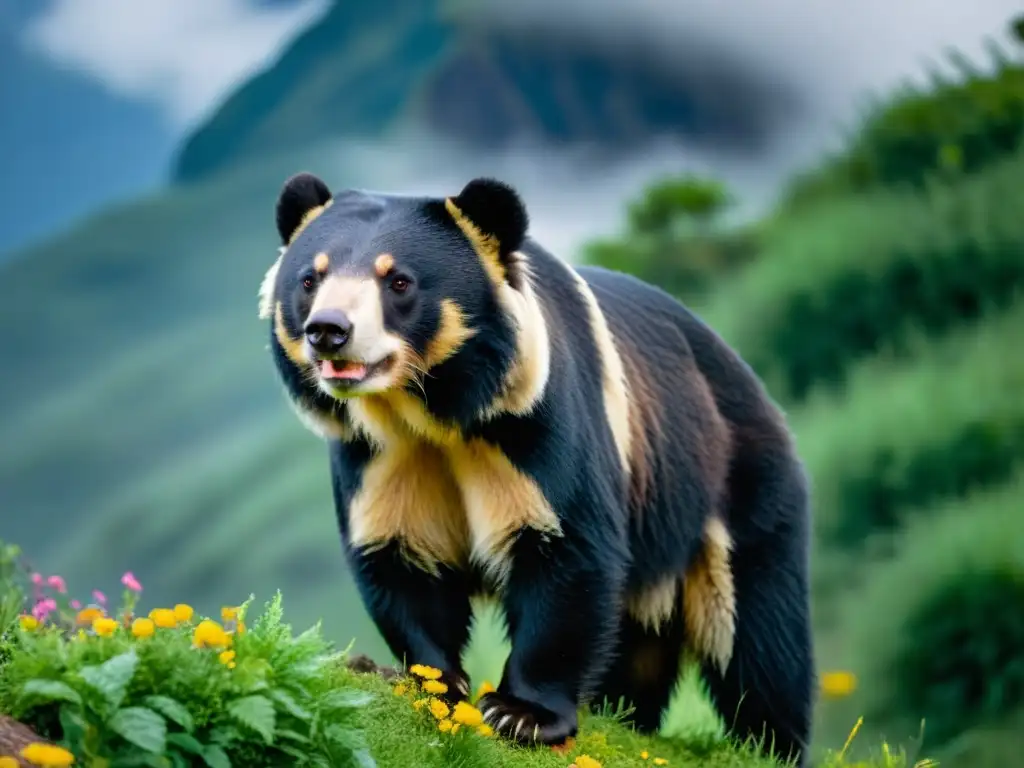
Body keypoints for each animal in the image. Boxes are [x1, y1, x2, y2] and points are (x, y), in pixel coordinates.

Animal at [258, 171, 816, 766]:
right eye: (311, 279)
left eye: (399, 282)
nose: (328, 331)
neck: (429, 407)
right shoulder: (380, 456)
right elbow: (399, 557)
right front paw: (432, 683)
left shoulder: (532, 422)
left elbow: (564, 549)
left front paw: (521, 713)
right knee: (642, 641)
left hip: (732, 479)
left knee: (759, 634)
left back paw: (768, 742)